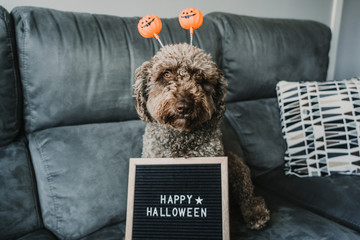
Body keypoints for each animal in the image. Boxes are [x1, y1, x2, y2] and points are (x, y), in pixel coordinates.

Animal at [134, 42, 268, 229]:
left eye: (199, 76)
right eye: (166, 73)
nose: (184, 106)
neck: (181, 136)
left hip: (235, 165)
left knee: (248, 194)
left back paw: (256, 213)